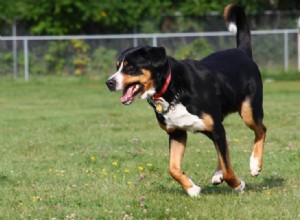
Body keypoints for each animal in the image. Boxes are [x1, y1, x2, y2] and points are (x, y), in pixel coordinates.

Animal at [105, 3, 268, 196]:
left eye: (130, 67)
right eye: (117, 67)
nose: (109, 82)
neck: (174, 89)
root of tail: (242, 52)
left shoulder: (215, 129)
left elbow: (229, 170)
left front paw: (238, 185)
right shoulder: (177, 133)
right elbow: (173, 169)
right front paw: (192, 189)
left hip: (248, 111)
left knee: (261, 130)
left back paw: (255, 164)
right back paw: (218, 173)